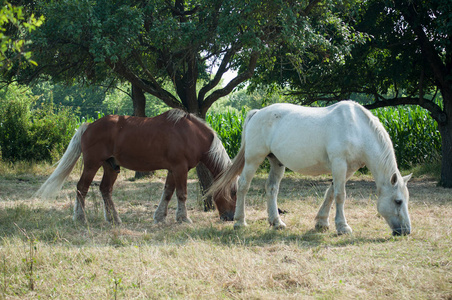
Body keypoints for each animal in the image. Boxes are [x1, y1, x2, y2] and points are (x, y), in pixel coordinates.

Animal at [35, 109, 237, 224]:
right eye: (233, 193)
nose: (230, 217)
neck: (190, 133)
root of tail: (89, 125)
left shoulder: (173, 169)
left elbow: (168, 192)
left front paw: (160, 217)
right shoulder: (180, 168)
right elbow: (181, 194)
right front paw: (184, 218)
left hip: (111, 167)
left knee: (105, 189)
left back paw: (114, 219)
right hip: (92, 165)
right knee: (81, 188)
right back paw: (80, 218)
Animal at [209, 102, 414, 236]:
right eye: (398, 201)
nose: (406, 231)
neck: (356, 128)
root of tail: (258, 113)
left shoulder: (348, 169)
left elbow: (331, 192)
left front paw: (322, 223)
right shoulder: (339, 164)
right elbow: (340, 195)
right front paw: (343, 227)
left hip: (277, 162)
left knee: (271, 189)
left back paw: (276, 222)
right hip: (253, 159)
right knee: (243, 185)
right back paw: (240, 222)